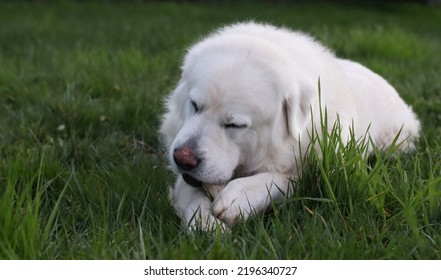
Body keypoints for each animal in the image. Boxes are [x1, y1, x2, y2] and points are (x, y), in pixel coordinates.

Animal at [159, 21, 420, 231]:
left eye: (234, 125)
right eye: (195, 105)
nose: (183, 158)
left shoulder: (322, 170)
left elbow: (285, 178)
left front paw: (240, 196)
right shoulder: (186, 180)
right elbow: (192, 197)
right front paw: (205, 224)